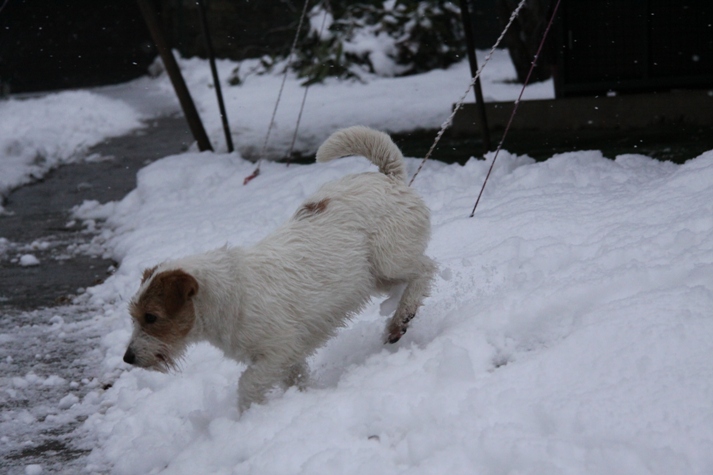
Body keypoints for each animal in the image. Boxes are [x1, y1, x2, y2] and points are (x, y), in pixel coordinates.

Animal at [122, 126, 434, 412]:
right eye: (134, 316)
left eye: (151, 317)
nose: (128, 358)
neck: (228, 293)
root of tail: (389, 177)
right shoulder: (287, 357)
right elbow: (296, 377)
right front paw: (302, 399)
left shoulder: (277, 350)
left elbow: (248, 383)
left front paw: (249, 416)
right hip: (374, 276)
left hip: (390, 260)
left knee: (426, 269)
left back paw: (400, 319)